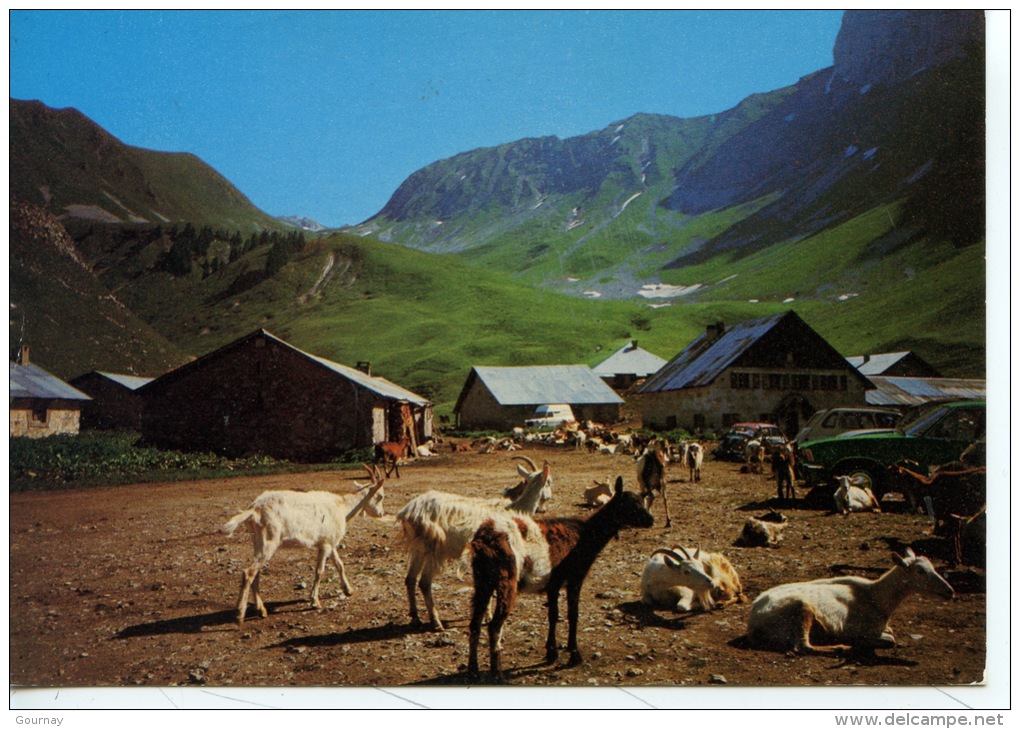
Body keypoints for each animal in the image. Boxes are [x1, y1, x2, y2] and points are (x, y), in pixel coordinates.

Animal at [221, 464, 383, 623]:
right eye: (380, 496)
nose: (381, 514)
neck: (342, 507)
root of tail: (254, 510)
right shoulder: (325, 544)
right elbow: (319, 571)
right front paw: (315, 601)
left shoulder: (329, 542)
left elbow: (340, 565)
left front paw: (348, 590)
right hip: (269, 541)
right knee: (248, 572)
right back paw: (240, 614)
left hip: (257, 541)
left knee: (256, 573)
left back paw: (261, 610)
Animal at [393, 458, 550, 632]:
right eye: (549, 481)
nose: (544, 508)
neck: (514, 509)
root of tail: (407, 512)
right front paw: (488, 617)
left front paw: (486, 614)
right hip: (434, 547)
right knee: (424, 582)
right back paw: (436, 622)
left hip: (418, 547)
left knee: (410, 578)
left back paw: (415, 618)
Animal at [467, 477, 652, 681]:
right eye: (630, 504)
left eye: (642, 500)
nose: (651, 520)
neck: (584, 534)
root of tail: (482, 541)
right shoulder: (575, 579)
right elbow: (573, 614)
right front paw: (574, 654)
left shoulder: (553, 584)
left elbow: (553, 615)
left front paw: (551, 653)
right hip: (506, 580)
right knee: (494, 625)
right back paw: (497, 674)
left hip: (482, 580)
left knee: (474, 623)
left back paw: (473, 670)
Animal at [742, 546, 954, 656]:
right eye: (920, 571)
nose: (950, 591)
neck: (877, 598)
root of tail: (753, 623)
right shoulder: (857, 628)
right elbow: (890, 639)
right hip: (800, 609)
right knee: (802, 646)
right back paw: (841, 647)